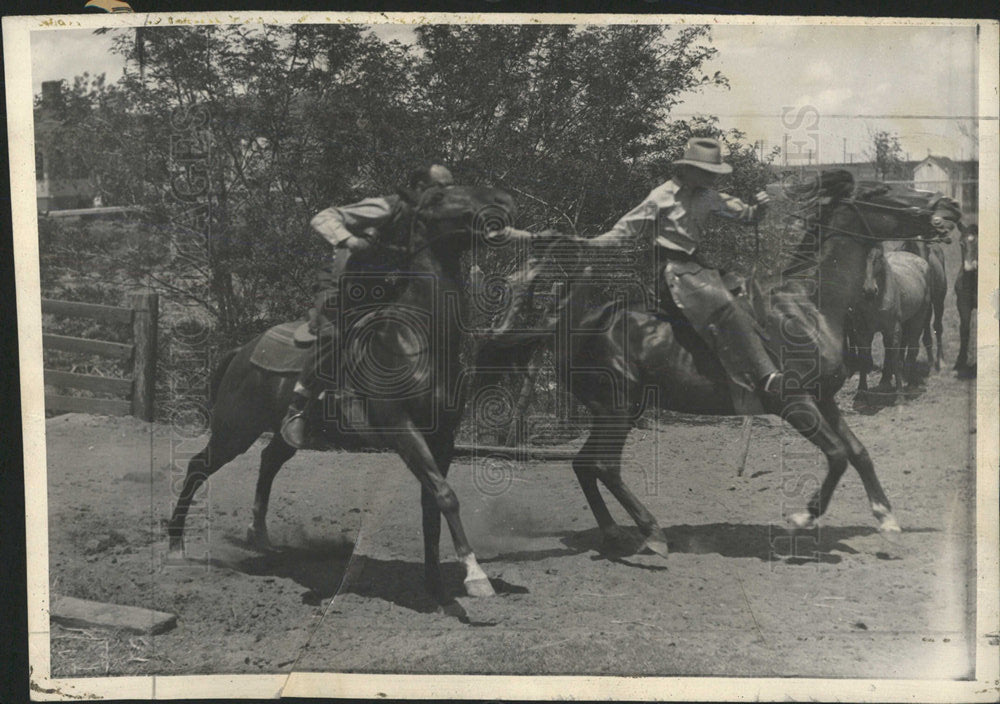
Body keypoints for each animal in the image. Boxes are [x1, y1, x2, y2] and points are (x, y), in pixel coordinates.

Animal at [166, 184, 516, 604]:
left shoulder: (443, 437)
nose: (503, 206)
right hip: (234, 431)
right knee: (197, 466)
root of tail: (243, 351)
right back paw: (176, 546)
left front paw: (435, 584)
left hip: (281, 434)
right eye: (444, 197)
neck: (417, 340)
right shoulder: (401, 428)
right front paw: (475, 576)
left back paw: (260, 535)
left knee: (268, 460)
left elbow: (431, 505)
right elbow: (445, 495)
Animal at [476, 170, 960, 556]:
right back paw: (651, 533)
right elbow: (838, 456)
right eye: (882, 190)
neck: (806, 309)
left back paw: (615, 534)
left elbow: (858, 453)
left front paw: (886, 517)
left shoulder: (823, 399)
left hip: (618, 410)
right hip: (616, 408)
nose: (951, 207)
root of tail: (570, 327)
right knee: (604, 467)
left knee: (583, 465)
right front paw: (802, 518)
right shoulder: (792, 403)